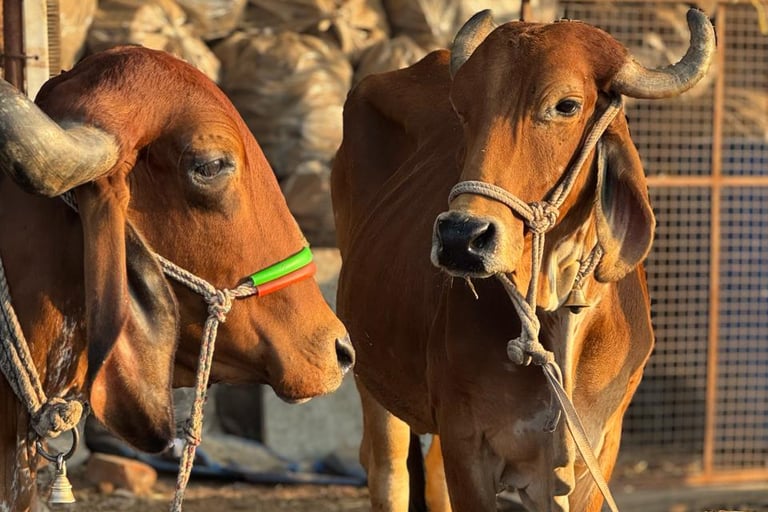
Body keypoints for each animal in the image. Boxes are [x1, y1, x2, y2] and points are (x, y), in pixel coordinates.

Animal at [332, 8, 714, 512]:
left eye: (566, 105)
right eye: (462, 108)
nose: (461, 237)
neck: (559, 311)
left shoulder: (598, 450)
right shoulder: (467, 442)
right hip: (371, 374)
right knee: (389, 473)